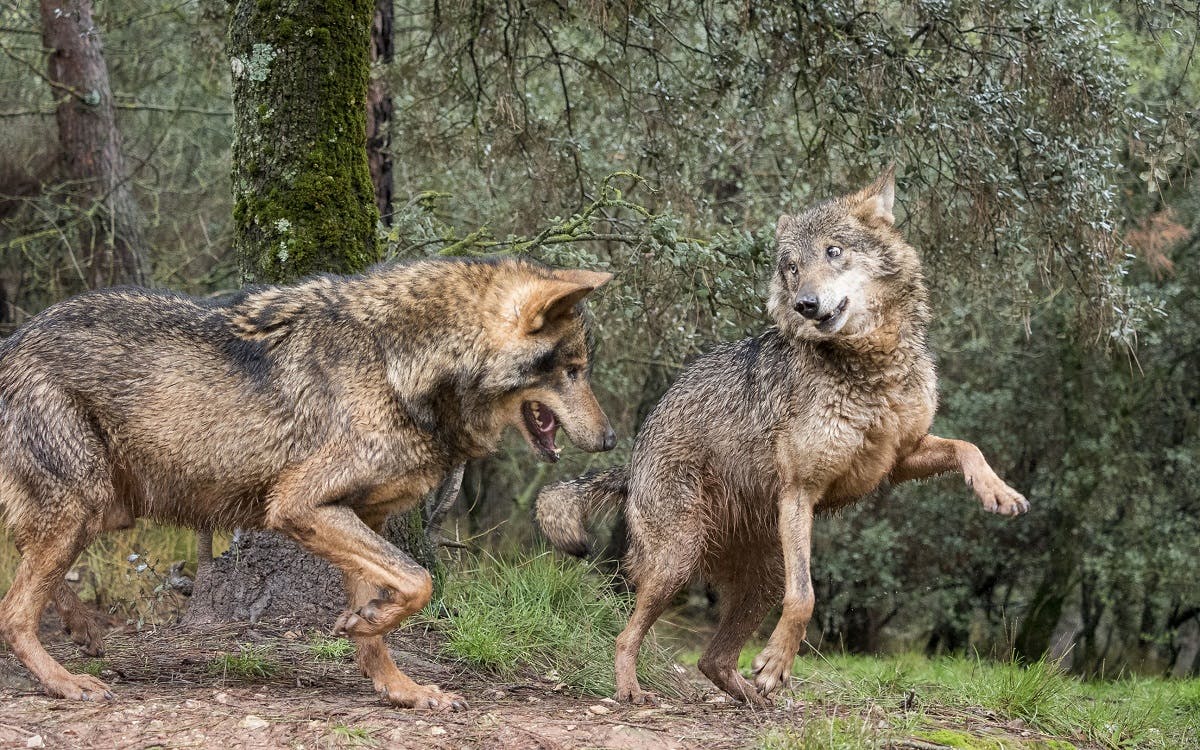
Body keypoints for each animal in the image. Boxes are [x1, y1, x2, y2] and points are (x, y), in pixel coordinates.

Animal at [0, 256, 614, 705]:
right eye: (574, 371)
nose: (611, 440)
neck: (397, 365)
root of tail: (12, 341)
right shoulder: (298, 506)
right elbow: (420, 582)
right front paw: (370, 628)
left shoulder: (361, 515)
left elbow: (392, 612)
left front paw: (399, 686)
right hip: (84, 506)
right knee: (14, 612)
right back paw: (65, 681)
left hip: (97, 511)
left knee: (30, 580)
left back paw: (85, 631)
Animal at [540, 166, 1027, 705]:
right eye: (792, 267)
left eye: (834, 251)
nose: (805, 304)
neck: (870, 370)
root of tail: (632, 462)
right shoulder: (799, 491)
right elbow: (807, 597)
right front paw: (776, 663)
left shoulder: (897, 460)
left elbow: (968, 446)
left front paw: (999, 492)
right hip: (680, 562)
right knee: (628, 635)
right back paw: (632, 691)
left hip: (762, 577)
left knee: (712, 658)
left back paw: (757, 701)